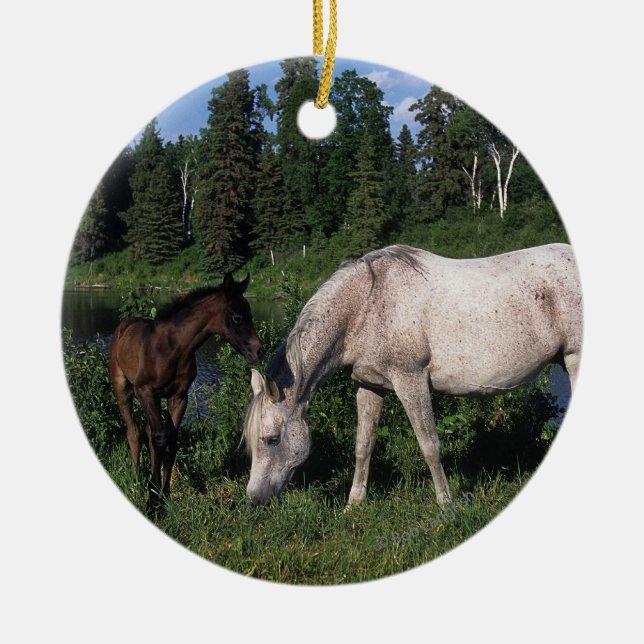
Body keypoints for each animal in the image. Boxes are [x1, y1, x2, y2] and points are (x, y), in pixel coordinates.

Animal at [109, 272, 263, 509]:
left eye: (250, 314)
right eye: (238, 317)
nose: (259, 351)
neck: (173, 349)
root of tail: (124, 325)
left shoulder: (179, 397)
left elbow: (171, 439)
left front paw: (164, 494)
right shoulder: (145, 391)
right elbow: (159, 438)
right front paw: (152, 499)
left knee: (147, 430)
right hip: (123, 388)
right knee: (134, 431)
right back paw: (136, 479)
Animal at [243, 244, 582, 508]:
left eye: (272, 439)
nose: (255, 499)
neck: (366, 305)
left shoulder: (411, 380)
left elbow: (429, 444)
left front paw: (446, 504)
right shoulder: (369, 386)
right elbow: (363, 445)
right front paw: (354, 504)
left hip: (575, 359)